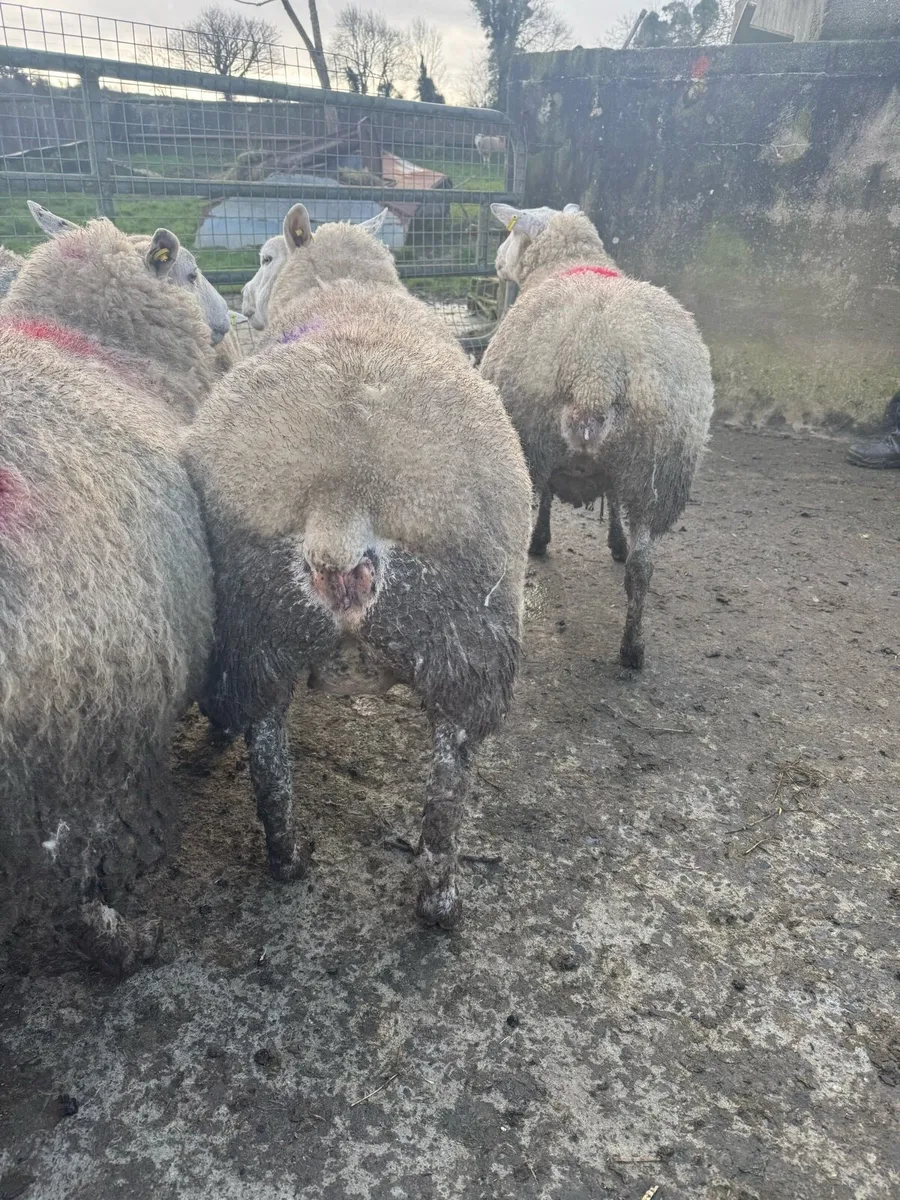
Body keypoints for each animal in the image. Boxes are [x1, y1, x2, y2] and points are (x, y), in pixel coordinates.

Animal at [188, 203, 532, 928]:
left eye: (264, 257)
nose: (242, 304)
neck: (346, 290)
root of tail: (342, 498)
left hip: (260, 632)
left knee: (269, 760)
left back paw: (292, 861)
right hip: (460, 642)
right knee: (444, 794)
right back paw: (433, 898)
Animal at [481, 203, 714, 670]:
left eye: (512, 233)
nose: (495, 262)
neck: (570, 262)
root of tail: (594, 372)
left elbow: (550, 500)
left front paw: (543, 540)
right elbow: (613, 504)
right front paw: (617, 543)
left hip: (530, 445)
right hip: (657, 472)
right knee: (642, 568)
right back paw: (632, 650)